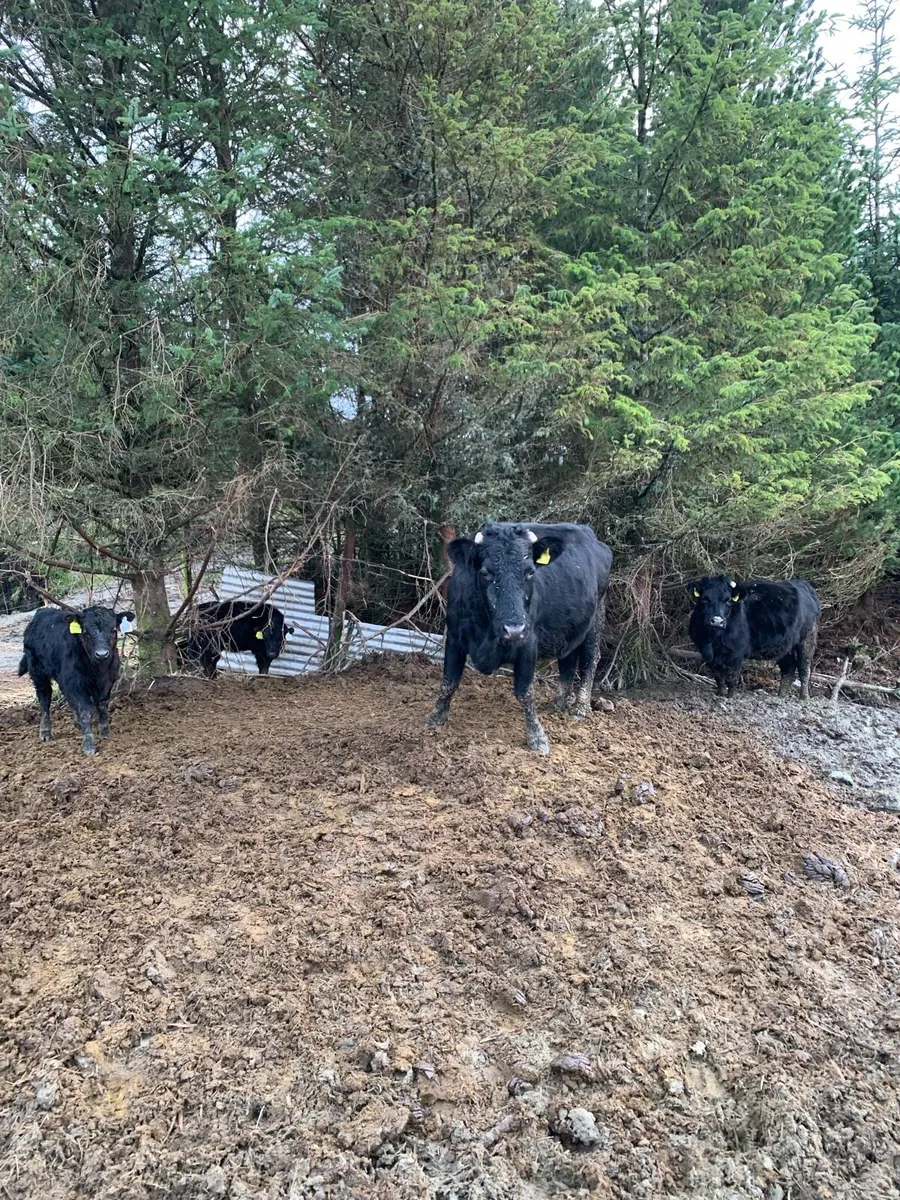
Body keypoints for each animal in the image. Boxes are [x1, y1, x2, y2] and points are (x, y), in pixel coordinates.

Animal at [18, 604, 136, 755]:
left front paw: (105, 733)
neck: (98, 670)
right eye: (86, 633)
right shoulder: (75, 683)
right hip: (37, 672)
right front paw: (89, 746)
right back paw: (45, 732)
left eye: (114, 630)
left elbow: (102, 705)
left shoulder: (107, 682)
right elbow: (85, 711)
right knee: (44, 699)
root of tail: (42, 611)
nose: (102, 654)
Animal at [426, 522, 613, 754]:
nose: (514, 629)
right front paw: (436, 717)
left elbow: (525, 692)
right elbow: (448, 682)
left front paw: (537, 736)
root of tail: (588, 533)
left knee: (590, 660)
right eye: (485, 573)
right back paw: (558, 703)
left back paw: (580, 708)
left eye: (530, 571)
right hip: (569, 627)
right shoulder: (454, 638)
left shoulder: (528, 644)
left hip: (596, 618)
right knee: (568, 661)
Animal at [687, 575, 821, 699]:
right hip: (786, 645)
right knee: (789, 668)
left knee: (804, 668)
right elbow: (718, 675)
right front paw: (720, 693)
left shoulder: (736, 652)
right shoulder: (706, 652)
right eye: (704, 600)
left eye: (728, 601)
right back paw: (781, 696)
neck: (712, 640)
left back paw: (804, 697)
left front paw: (730, 696)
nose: (717, 621)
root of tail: (803, 584)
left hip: (808, 638)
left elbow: (732, 677)